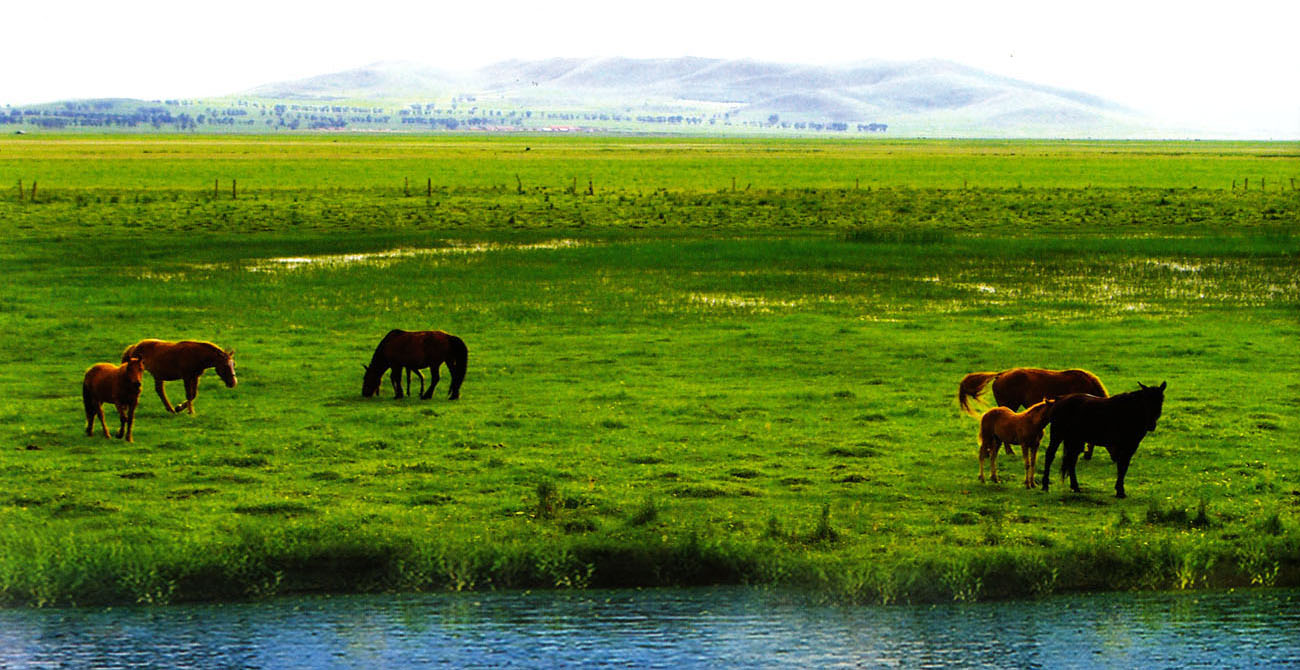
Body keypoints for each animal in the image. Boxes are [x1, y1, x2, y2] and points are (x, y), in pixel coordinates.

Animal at [1034, 382, 1170, 496]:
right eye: (1146, 401)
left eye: (1161, 400)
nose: (1151, 425)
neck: (1130, 411)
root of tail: (1059, 400)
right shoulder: (1125, 446)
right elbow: (1122, 466)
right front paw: (1120, 491)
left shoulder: (1130, 446)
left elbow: (1123, 466)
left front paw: (1119, 489)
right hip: (1057, 435)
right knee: (1050, 455)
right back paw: (1045, 485)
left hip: (1075, 440)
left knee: (1071, 460)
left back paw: (1075, 487)